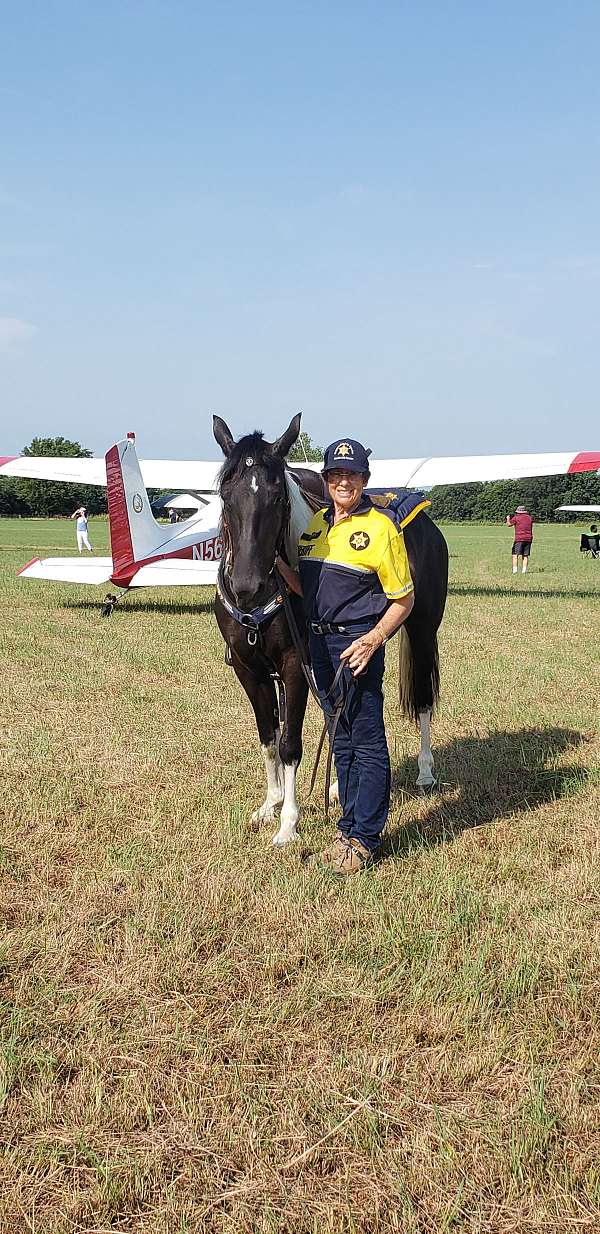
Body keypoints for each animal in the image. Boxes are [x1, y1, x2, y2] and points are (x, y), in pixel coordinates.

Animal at [213, 414, 449, 846]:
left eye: (277, 496)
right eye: (225, 493)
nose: (246, 586)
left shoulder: (295, 666)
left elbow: (290, 743)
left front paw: (288, 823)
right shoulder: (248, 669)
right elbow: (268, 736)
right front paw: (270, 805)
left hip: (422, 632)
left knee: (422, 698)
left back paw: (425, 771)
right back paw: (340, 785)